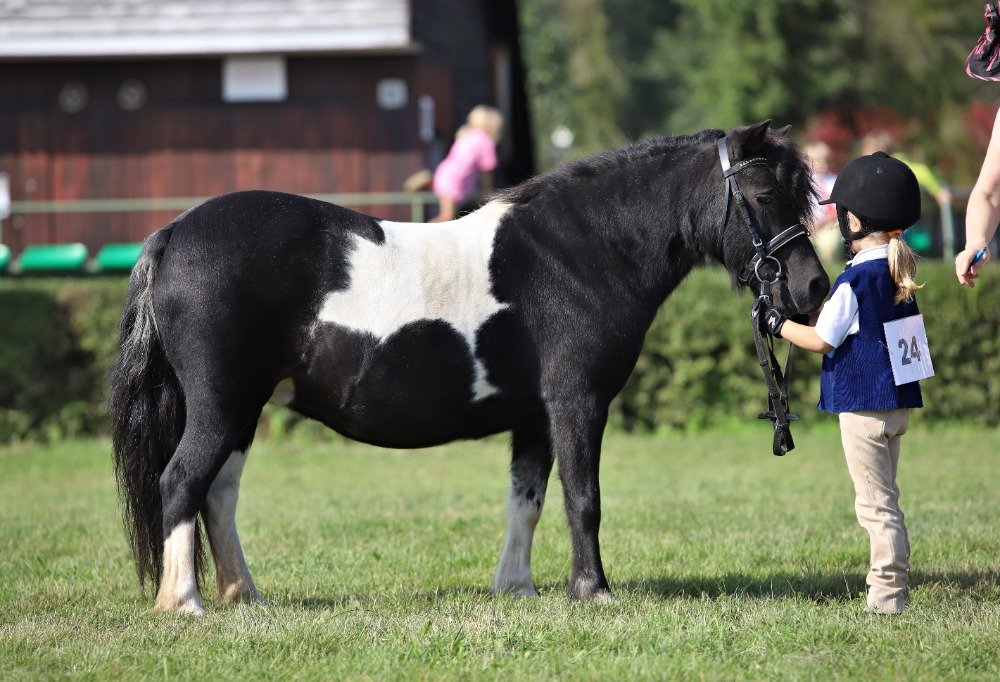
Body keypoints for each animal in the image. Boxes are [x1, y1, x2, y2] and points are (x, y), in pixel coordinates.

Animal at [111, 119, 828, 612]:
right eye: (763, 192)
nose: (813, 287)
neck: (575, 255)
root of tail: (173, 235)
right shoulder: (577, 403)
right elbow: (584, 498)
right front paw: (592, 590)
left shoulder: (535, 418)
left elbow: (527, 501)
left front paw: (517, 589)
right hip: (222, 403)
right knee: (180, 482)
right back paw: (184, 603)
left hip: (245, 409)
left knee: (218, 495)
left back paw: (244, 596)